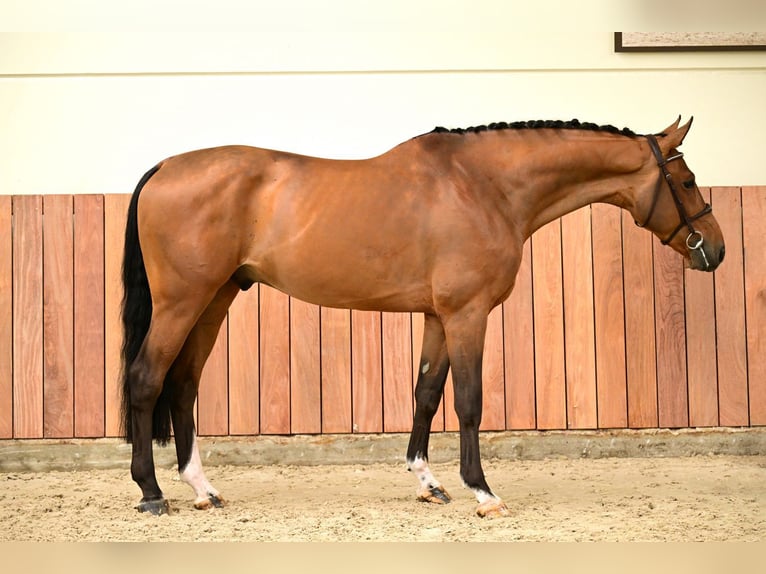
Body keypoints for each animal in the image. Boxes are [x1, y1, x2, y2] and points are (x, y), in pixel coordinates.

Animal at [120, 117, 724, 518]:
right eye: (687, 181)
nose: (715, 250)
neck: (484, 187)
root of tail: (165, 167)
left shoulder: (438, 316)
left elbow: (427, 393)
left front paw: (427, 481)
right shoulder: (468, 314)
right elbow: (469, 402)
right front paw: (483, 491)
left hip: (215, 299)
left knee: (183, 384)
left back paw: (202, 489)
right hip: (183, 301)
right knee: (147, 379)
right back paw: (152, 493)